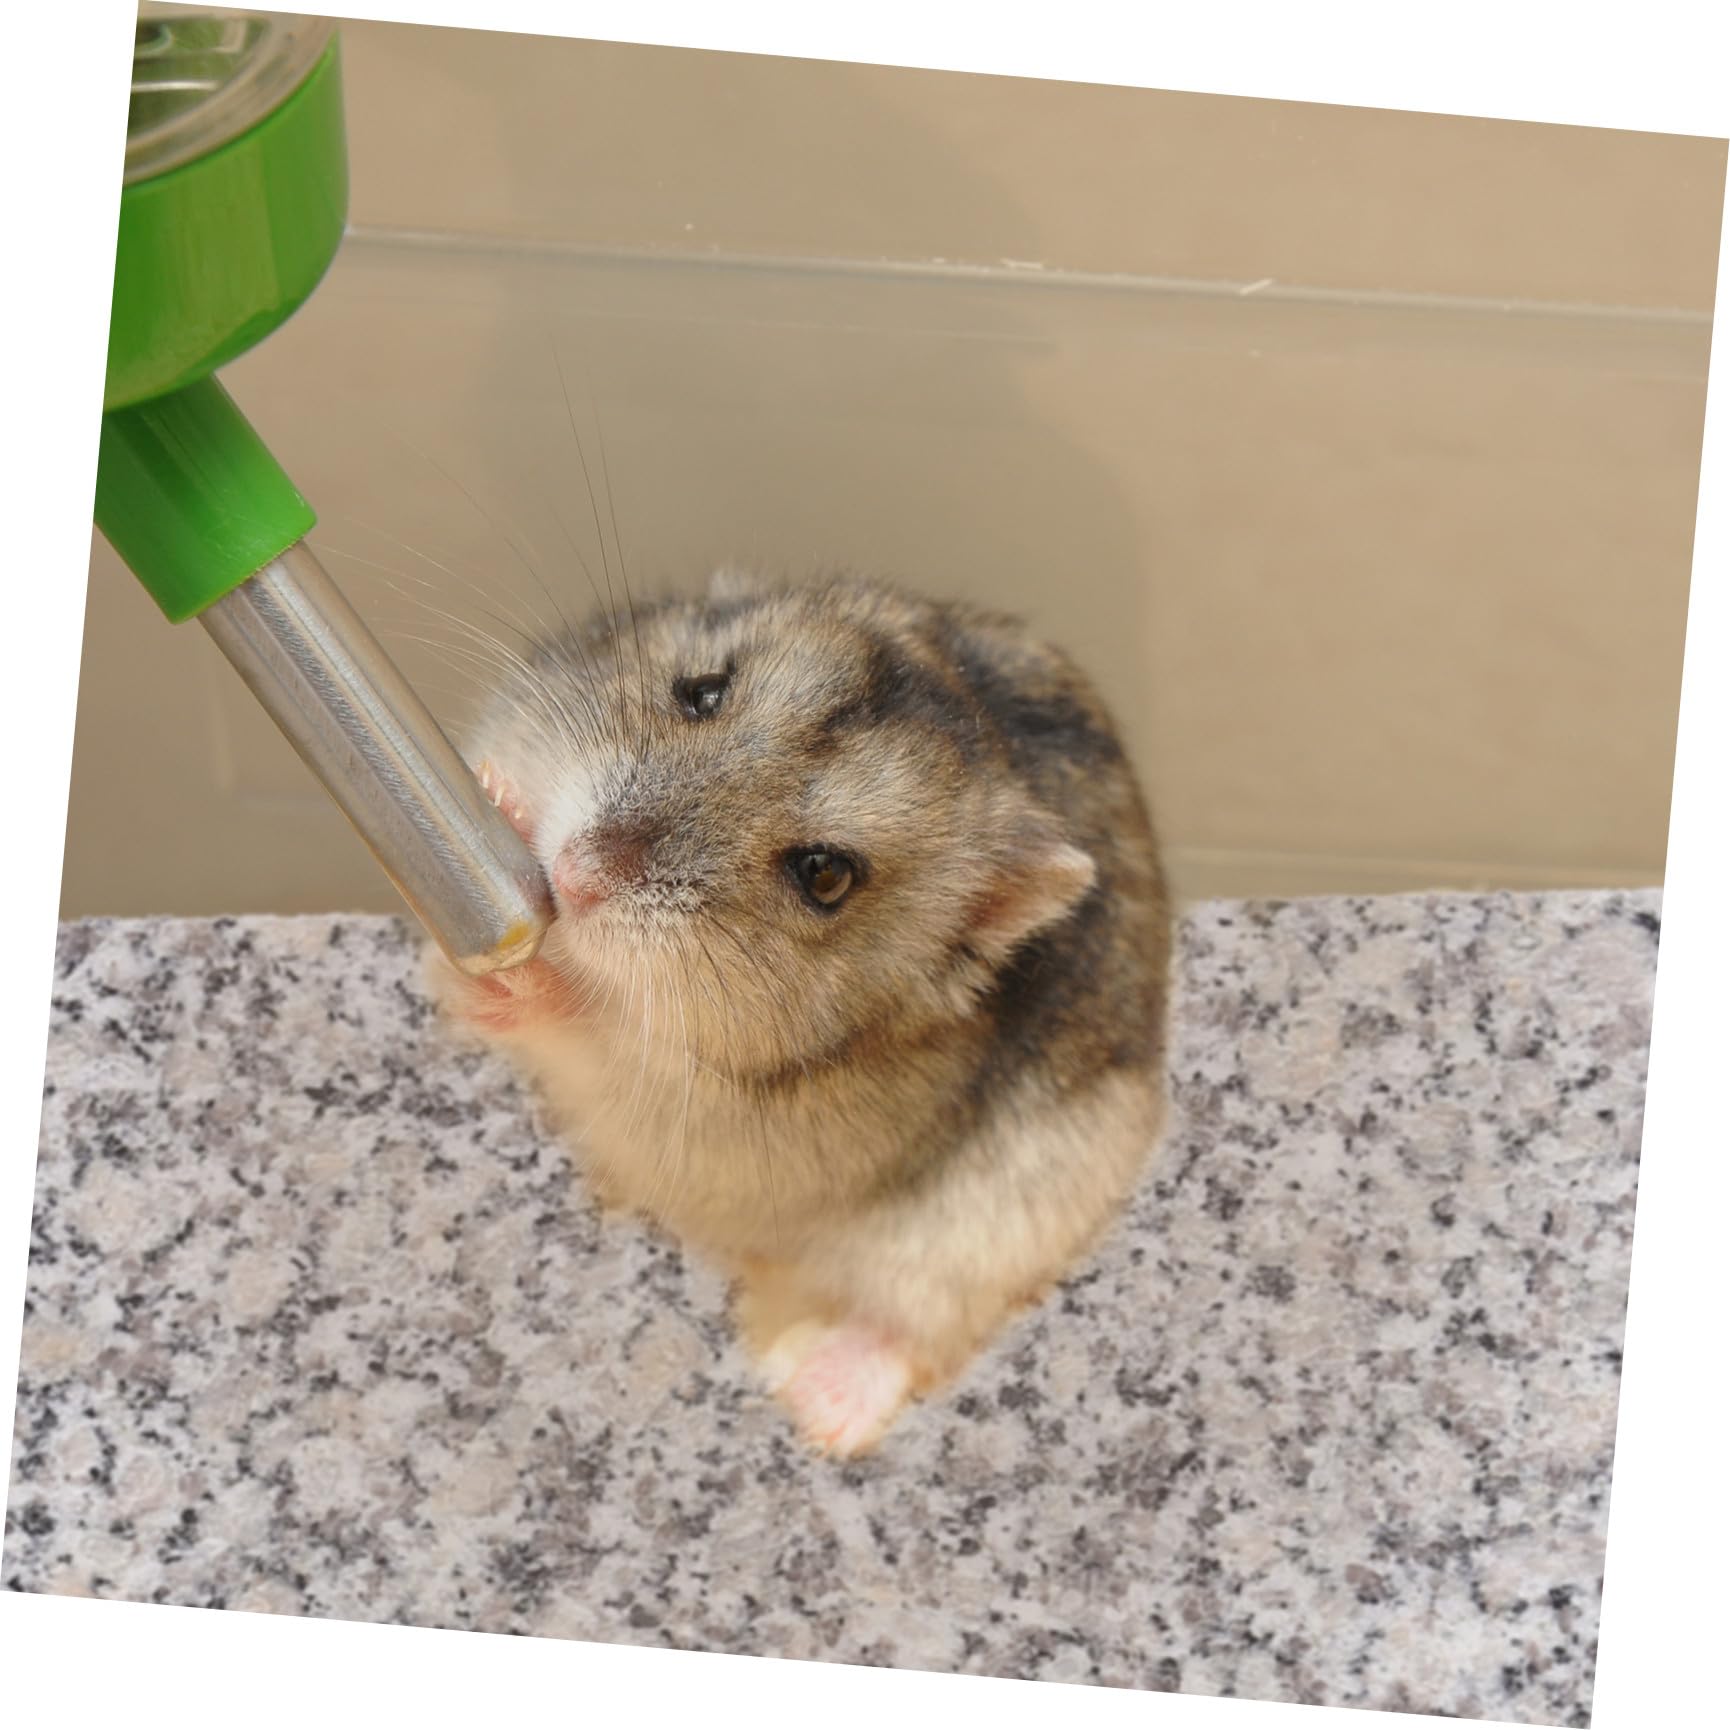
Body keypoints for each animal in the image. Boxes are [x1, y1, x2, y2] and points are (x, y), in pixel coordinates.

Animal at [427, 568, 1171, 1456]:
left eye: (825, 875)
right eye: (702, 691)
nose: (574, 875)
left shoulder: (705, 1116)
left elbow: (590, 1032)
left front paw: (534, 981)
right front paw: (499, 795)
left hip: (999, 1230)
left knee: (914, 1326)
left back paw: (807, 1399)